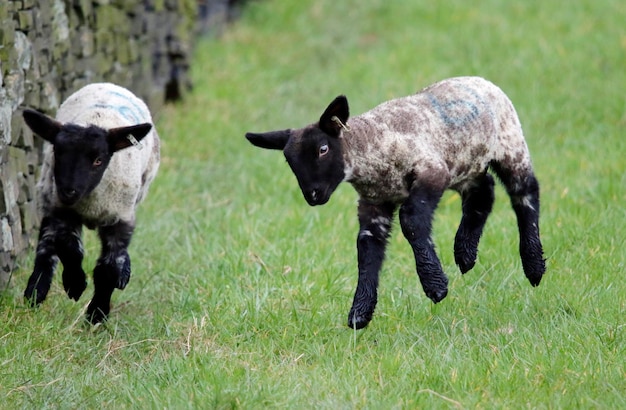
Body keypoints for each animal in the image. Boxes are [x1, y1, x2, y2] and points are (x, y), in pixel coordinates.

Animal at [21, 83, 160, 324]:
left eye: (98, 160)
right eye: (57, 151)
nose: (68, 191)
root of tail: (109, 85)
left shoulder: (120, 218)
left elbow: (109, 267)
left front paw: (97, 313)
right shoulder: (61, 211)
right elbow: (69, 248)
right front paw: (75, 284)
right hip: (47, 195)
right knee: (47, 247)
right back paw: (36, 291)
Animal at [246, 76, 544, 330]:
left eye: (323, 149)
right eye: (289, 161)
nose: (313, 196)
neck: (369, 148)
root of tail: (481, 80)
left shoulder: (430, 170)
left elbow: (410, 221)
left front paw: (435, 285)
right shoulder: (374, 203)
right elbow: (367, 248)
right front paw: (360, 313)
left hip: (510, 145)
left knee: (525, 194)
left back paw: (533, 265)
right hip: (464, 165)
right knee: (484, 191)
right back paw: (465, 253)